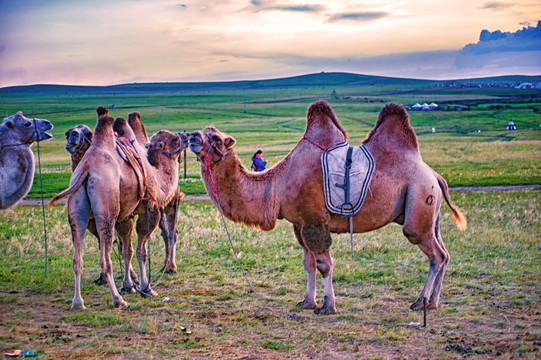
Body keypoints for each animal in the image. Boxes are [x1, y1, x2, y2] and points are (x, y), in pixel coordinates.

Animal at [51, 113, 186, 310]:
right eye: (174, 139)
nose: (187, 136)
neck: (156, 176)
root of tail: (86, 169)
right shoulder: (149, 211)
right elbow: (140, 251)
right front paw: (145, 287)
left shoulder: (125, 217)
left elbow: (126, 250)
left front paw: (129, 285)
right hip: (108, 211)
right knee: (106, 259)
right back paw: (117, 299)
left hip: (78, 211)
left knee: (77, 258)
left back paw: (78, 303)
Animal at [188, 100, 466, 316]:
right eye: (202, 132)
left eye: (215, 137)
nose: (191, 136)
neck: (277, 185)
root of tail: (434, 175)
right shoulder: (299, 224)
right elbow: (308, 263)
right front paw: (307, 302)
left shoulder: (314, 222)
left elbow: (324, 264)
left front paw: (328, 306)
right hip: (429, 213)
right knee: (444, 253)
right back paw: (433, 302)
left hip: (419, 201)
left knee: (435, 254)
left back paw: (421, 302)